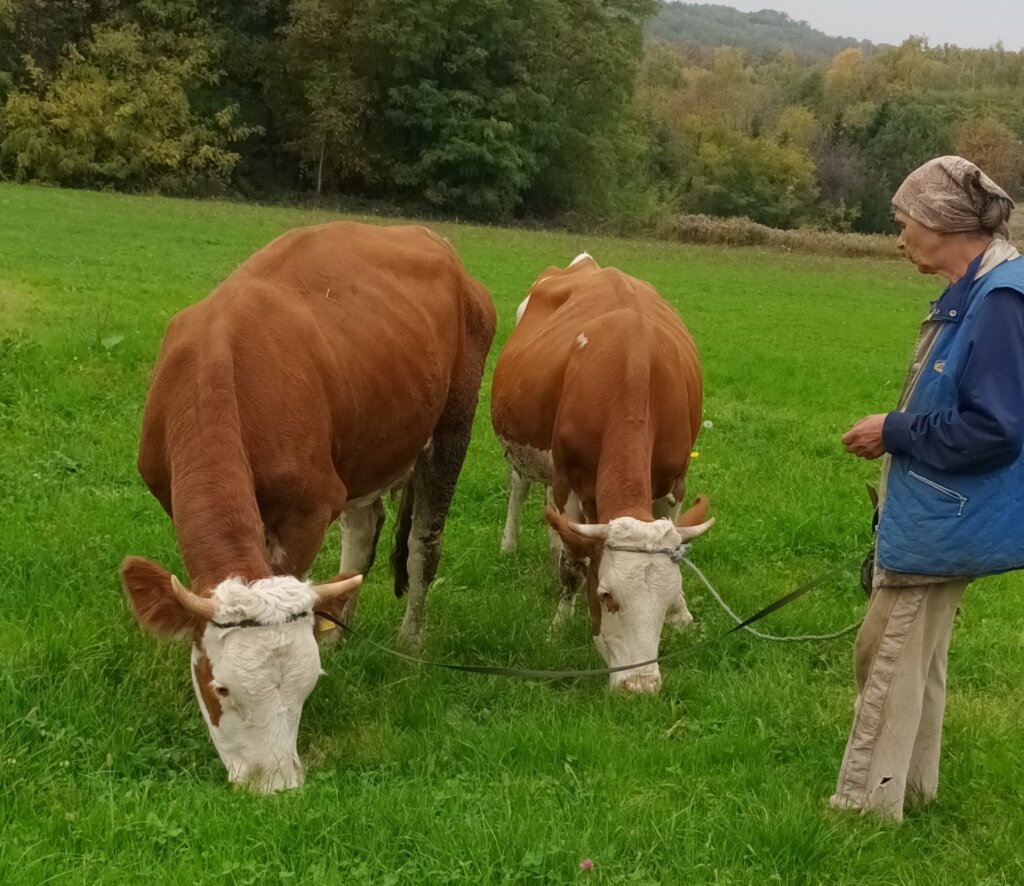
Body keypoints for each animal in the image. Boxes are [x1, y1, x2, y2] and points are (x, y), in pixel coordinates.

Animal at [119, 219, 495, 786]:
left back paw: (410, 642)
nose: (274, 784)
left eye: (307, 685)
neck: (218, 365)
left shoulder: (309, 507)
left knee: (422, 546)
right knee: (362, 534)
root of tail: (434, 242)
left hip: (452, 426)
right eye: (220, 688)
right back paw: (339, 630)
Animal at [491, 251, 716, 696]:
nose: (640, 687)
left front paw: (683, 616)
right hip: (523, 448)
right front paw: (559, 624)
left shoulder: (673, 483)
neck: (633, 366)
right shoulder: (569, 481)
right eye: (608, 595)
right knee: (520, 489)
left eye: (665, 601)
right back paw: (512, 544)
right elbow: (575, 564)